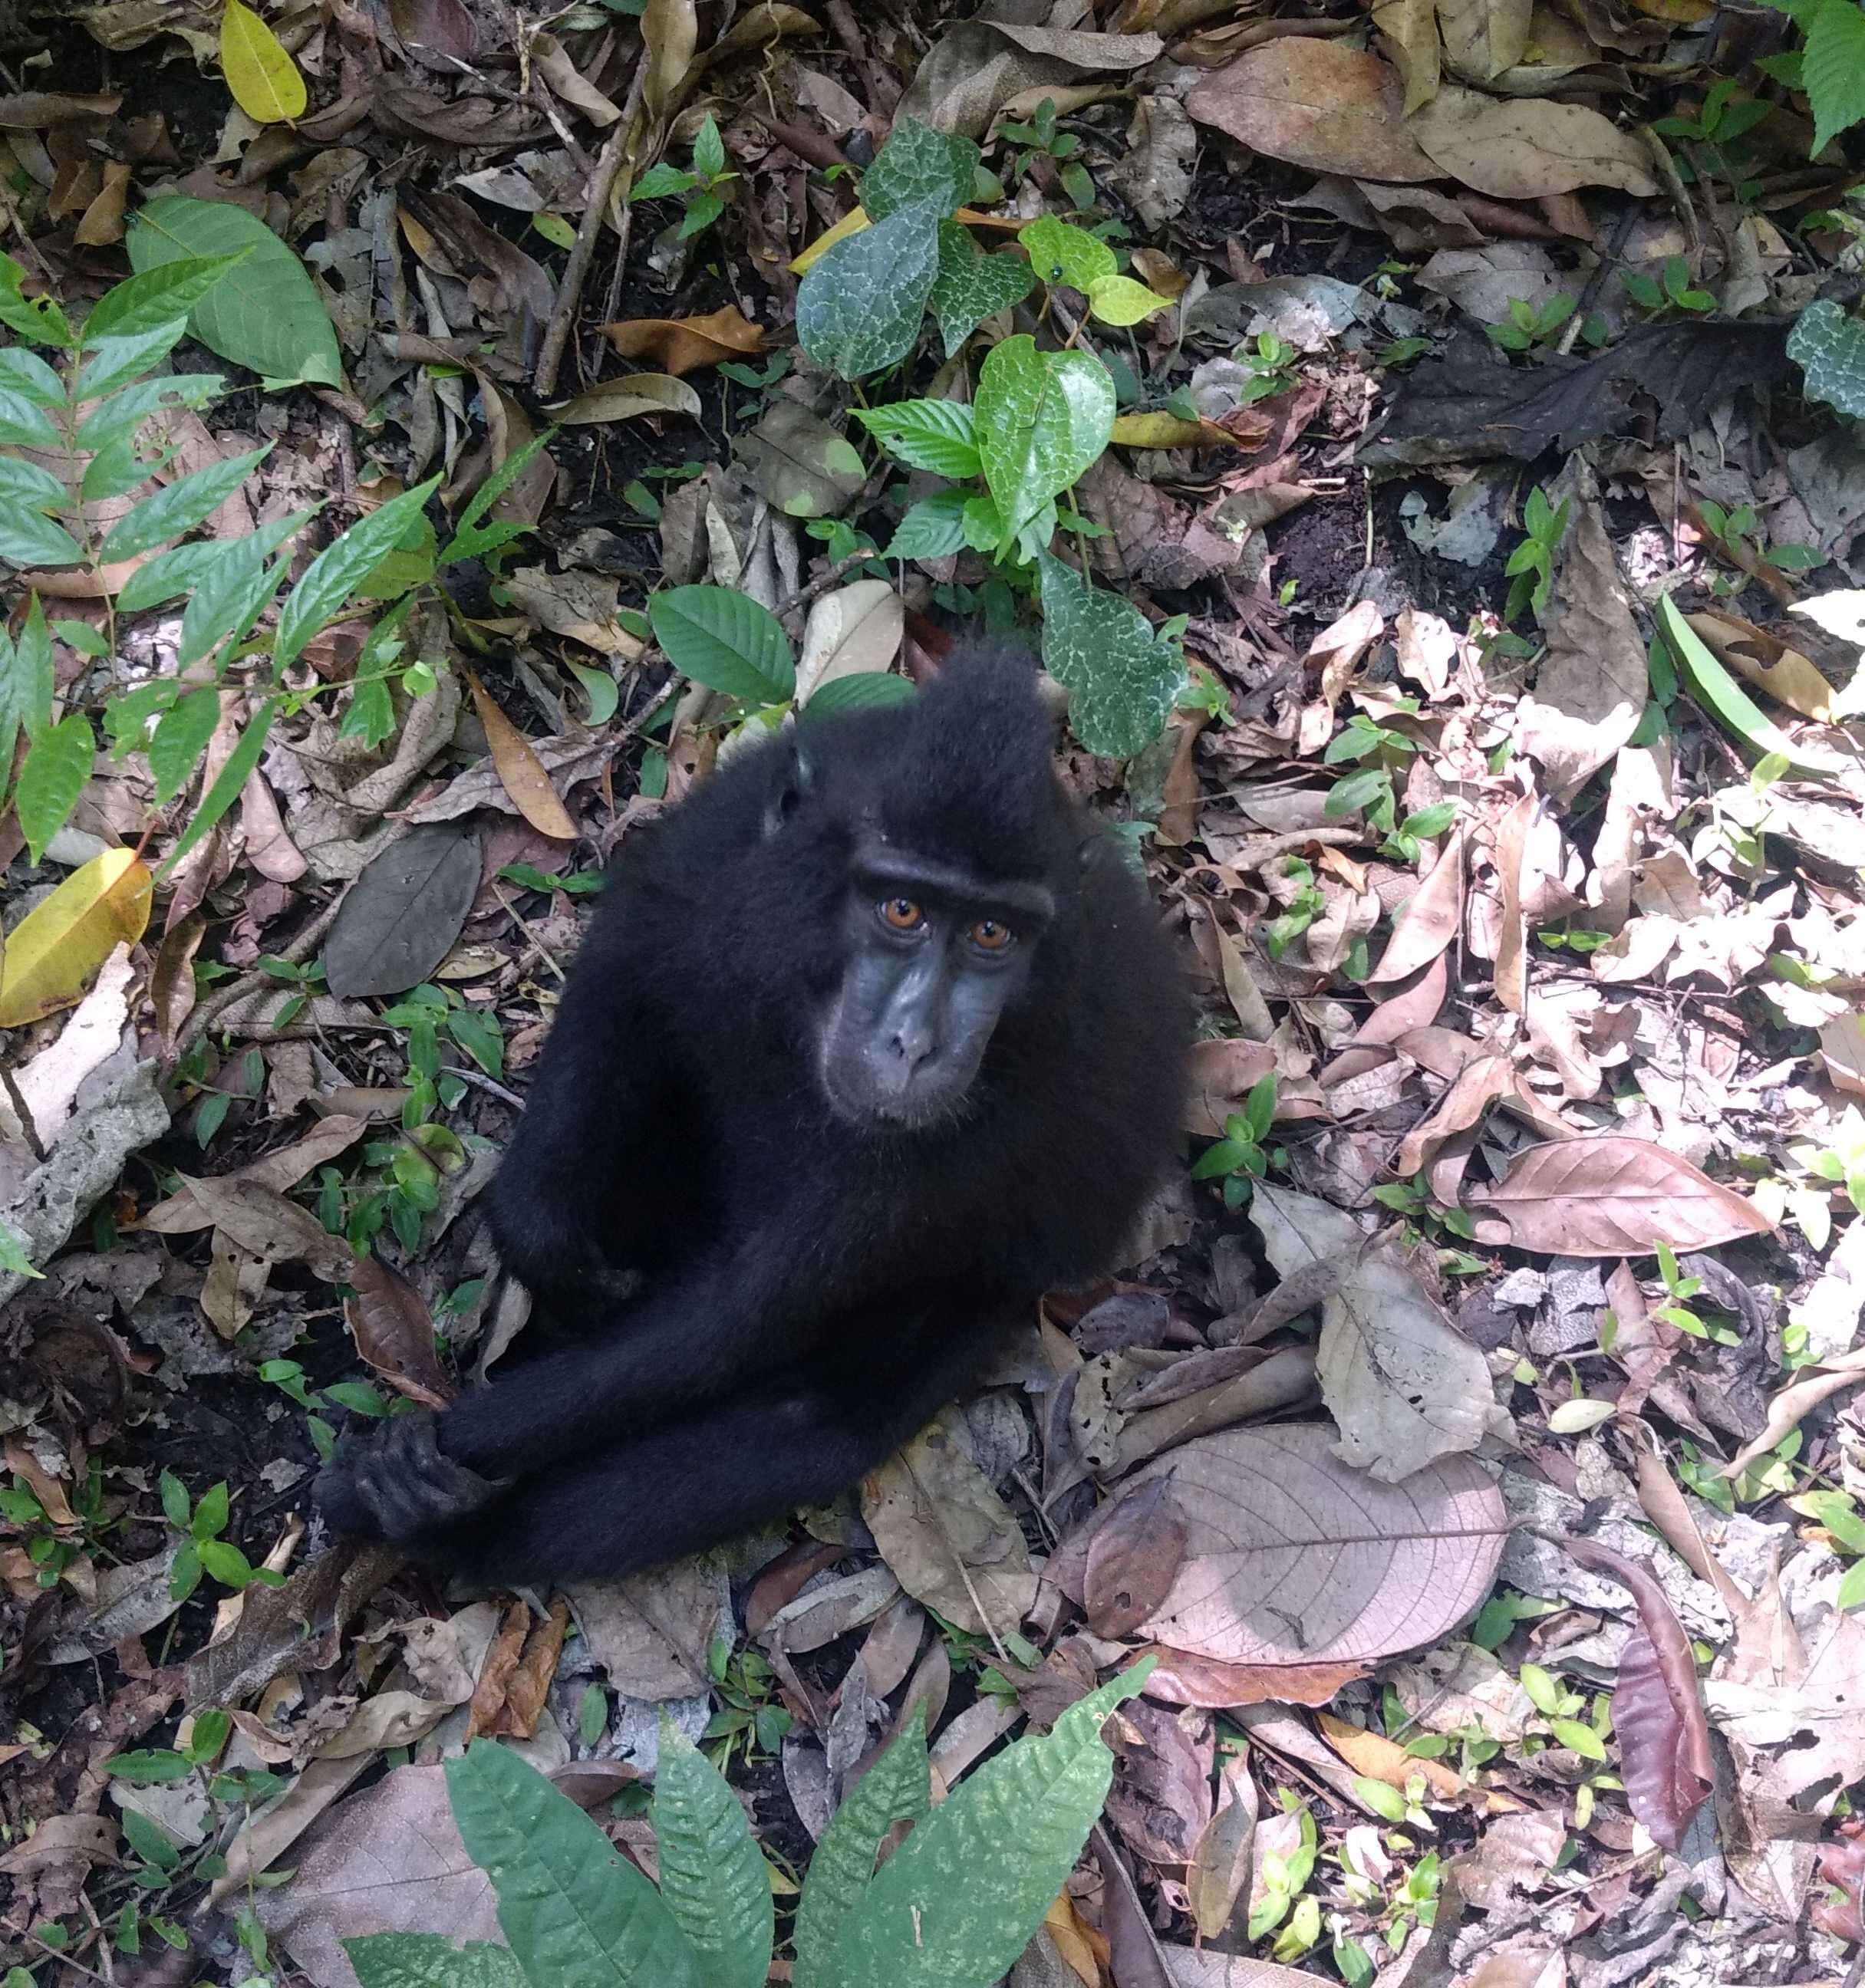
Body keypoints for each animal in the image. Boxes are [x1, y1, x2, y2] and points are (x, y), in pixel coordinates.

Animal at [320, 652, 1185, 1582]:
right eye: (903, 909)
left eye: (994, 934)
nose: (914, 1044)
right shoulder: (720, 845)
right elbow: (626, 967)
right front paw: (543, 1240)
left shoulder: (962, 1147)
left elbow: (727, 1325)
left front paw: (377, 1484)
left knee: (806, 1427)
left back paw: (456, 1531)